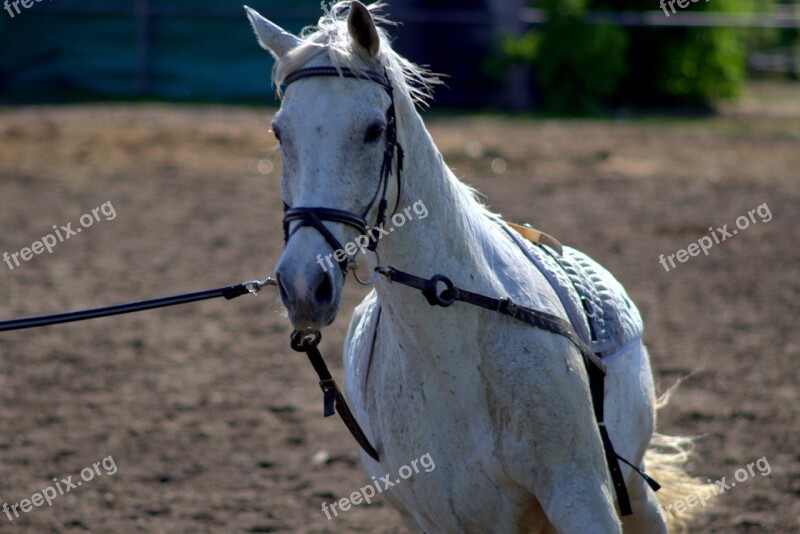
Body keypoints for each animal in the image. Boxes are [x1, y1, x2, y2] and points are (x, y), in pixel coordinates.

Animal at [245, 3, 708, 532]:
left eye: (373, 130)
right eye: (279, 132)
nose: (304, 285)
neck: (453, 359)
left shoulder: (584, 500)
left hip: (634, 490)